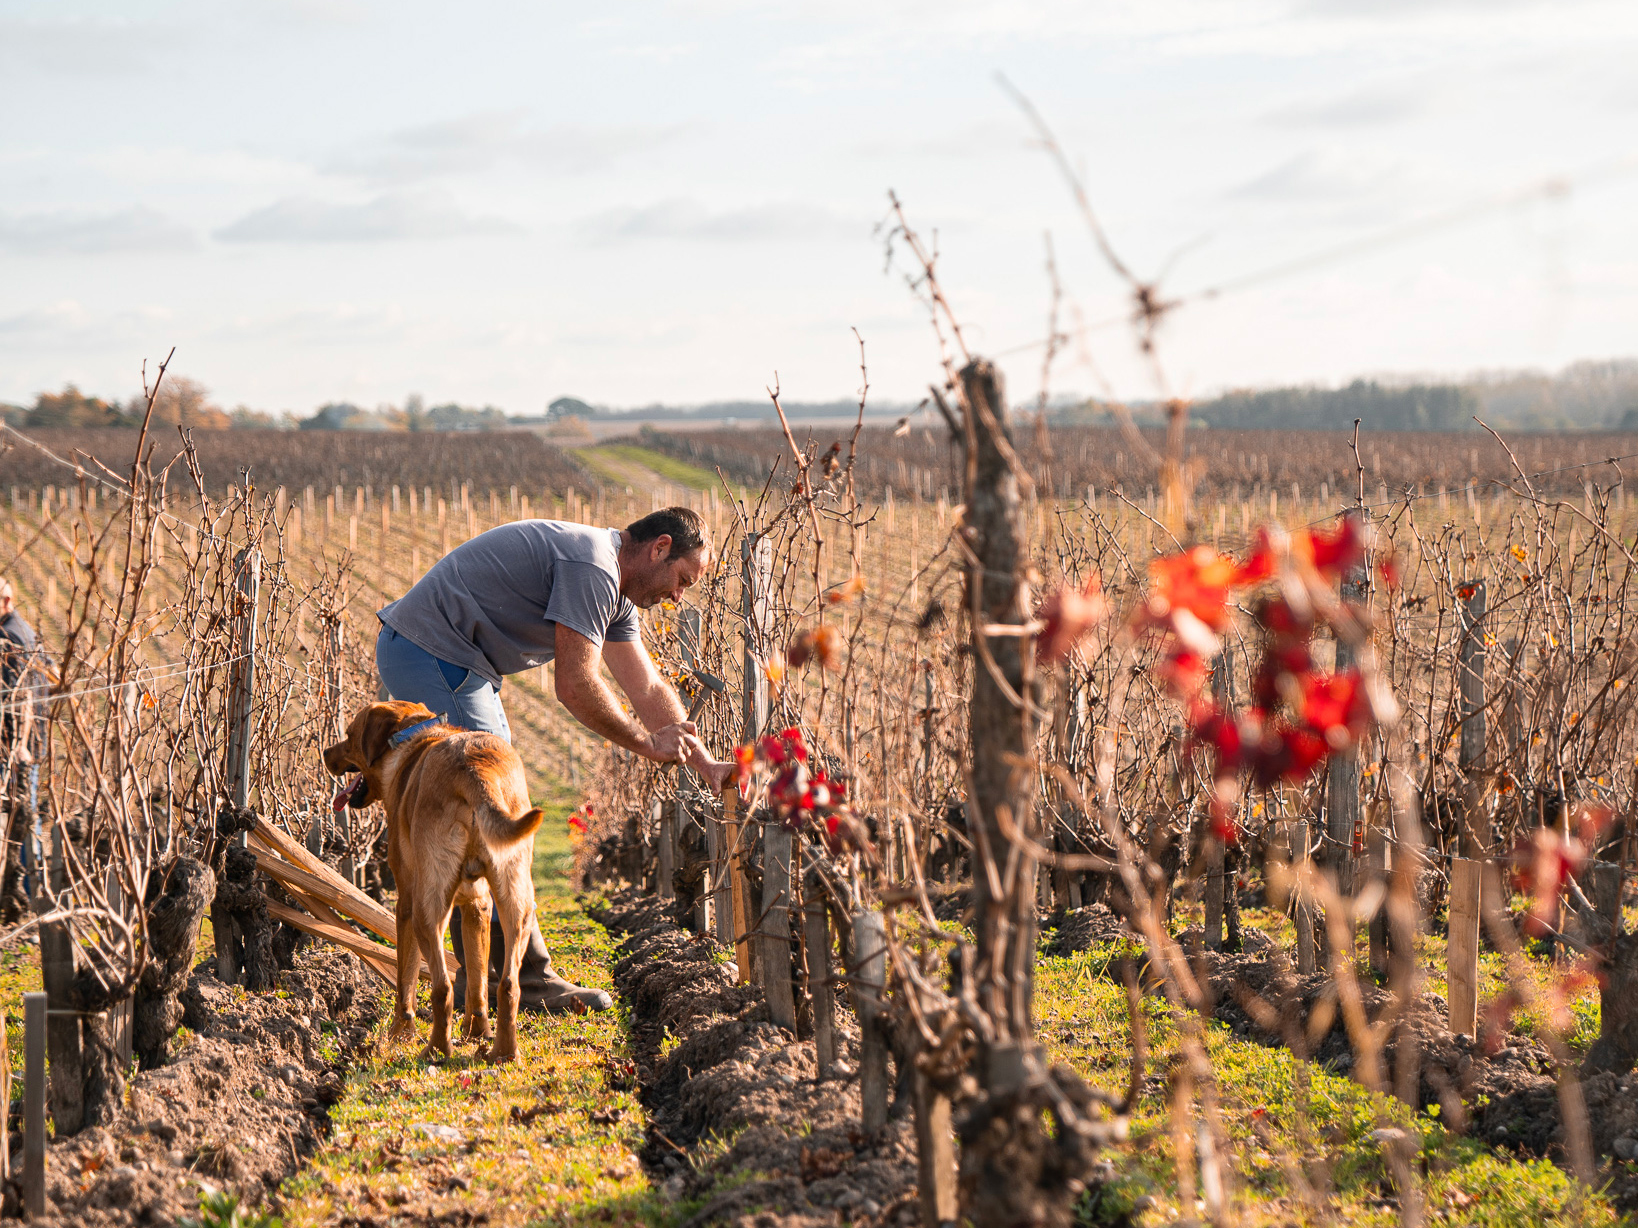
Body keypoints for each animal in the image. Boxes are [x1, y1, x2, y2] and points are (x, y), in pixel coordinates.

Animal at [324, 700, 543, 1067]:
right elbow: (477, 981)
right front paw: (476, 1032)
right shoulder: (477, 905)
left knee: (442, 988)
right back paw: (503, 1052)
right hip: (517, 902)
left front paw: (399, 1035)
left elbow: (406, 980)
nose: (326, 752)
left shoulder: (405, 905)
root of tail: (474, 771)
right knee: (508, 984)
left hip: (427, 910)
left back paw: (437, 1050)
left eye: (350, 735)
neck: (411, 735)